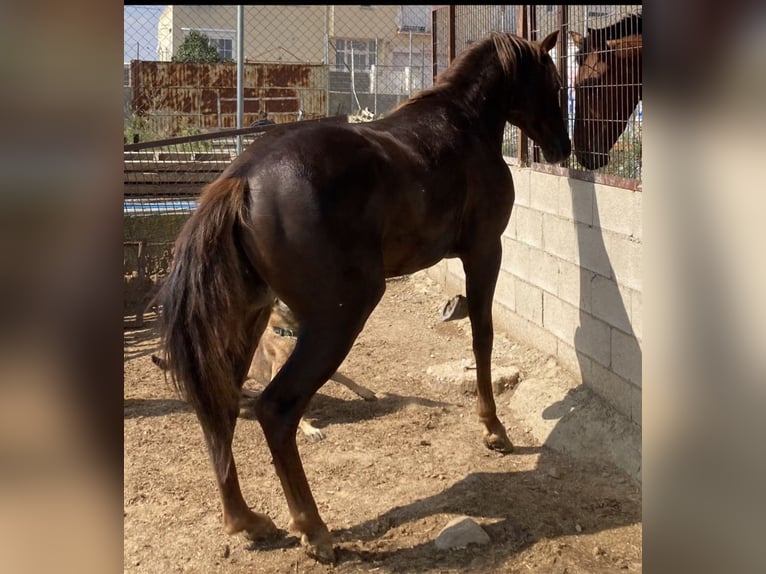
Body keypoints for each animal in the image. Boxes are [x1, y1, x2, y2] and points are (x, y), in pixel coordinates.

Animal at [155, 30, 570, 563]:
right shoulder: (484, 251)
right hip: (339, 317)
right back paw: (314, 530)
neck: (463, 126)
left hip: (251, 316)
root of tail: (242, 180)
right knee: (276, 409)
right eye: (554, 82)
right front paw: (493, 429)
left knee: (221, 405)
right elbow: (483, 337)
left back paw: (248, 522)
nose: (563, 147)